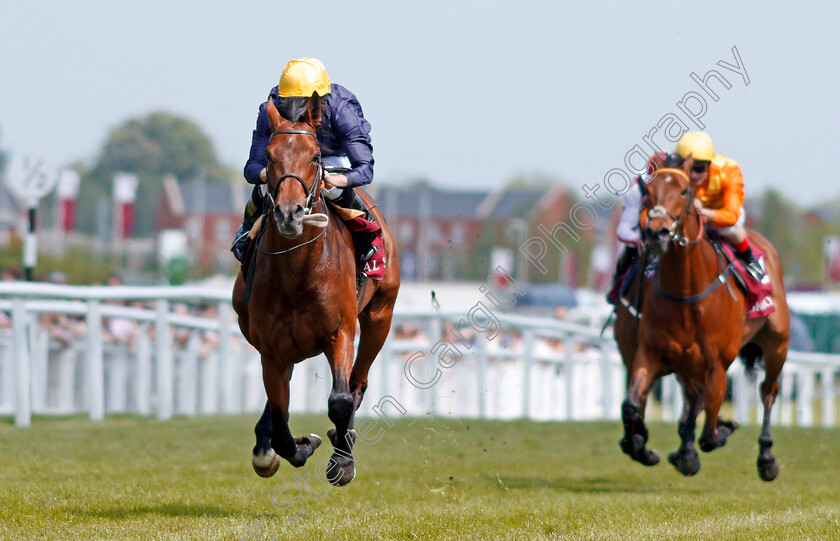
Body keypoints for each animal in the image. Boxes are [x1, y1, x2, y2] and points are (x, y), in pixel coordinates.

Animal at [230, 93, 400, 486]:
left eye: (315, 157)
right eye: (270, 156)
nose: (289, 214)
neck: (298, 273)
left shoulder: (341, 331)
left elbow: (340, 400)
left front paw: (342, 461)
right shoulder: (270, 347)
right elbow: (281, 420)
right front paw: (295, 446)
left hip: (379, 318)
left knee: (357, 384)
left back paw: (343, 439)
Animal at [612, 165, 792, 480]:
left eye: (684, 191)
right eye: (649, 191)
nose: (656, 233)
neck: (686, 293)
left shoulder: (716, 365)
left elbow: (709, 432)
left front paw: (723, 428)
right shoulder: (650, 353)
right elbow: (631, 404)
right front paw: (643, 448)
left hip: (776, 345)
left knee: (768, 391)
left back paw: (766, 457)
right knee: (692, 397)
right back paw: (682, 451)